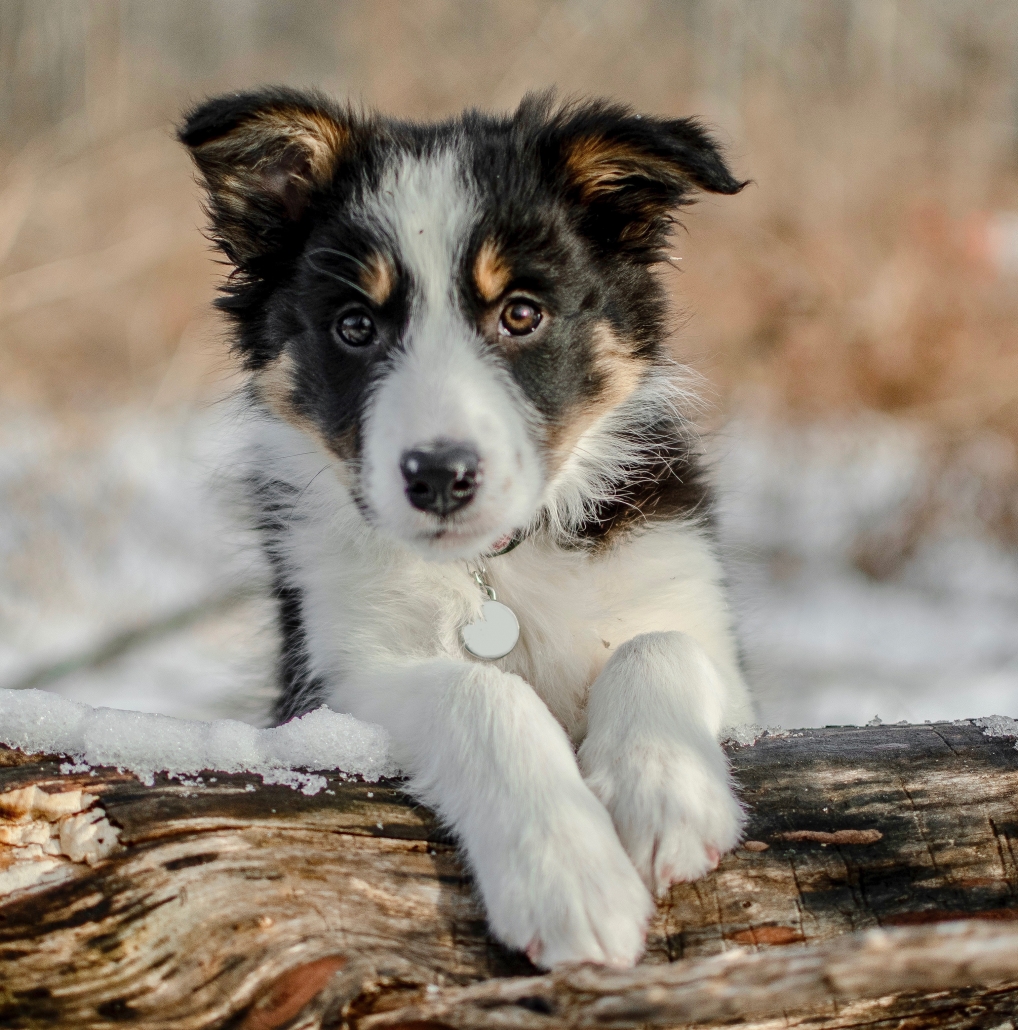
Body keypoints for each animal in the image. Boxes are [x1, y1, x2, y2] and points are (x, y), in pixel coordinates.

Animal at [179, 86, 750, 964]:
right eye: (355, 326)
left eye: (521, 313)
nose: (439, 476)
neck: (492, 570)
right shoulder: (331, 689)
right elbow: (479, 690)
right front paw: (568, 875)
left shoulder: (684, 596)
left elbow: (661, 645)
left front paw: (667, 791)